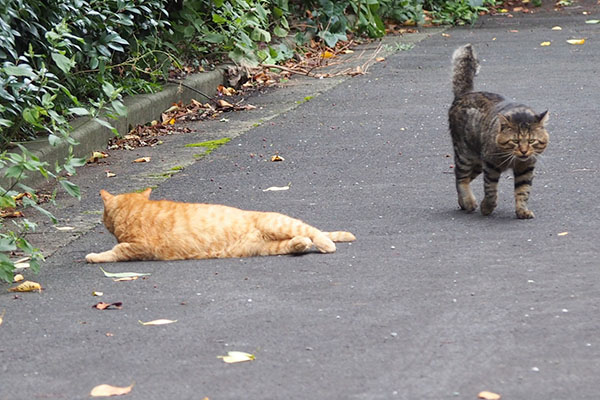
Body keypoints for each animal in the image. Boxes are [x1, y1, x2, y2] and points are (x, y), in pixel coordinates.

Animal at [84, 189, 356, 264]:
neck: (135, 211)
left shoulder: (141, 247)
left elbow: (116, 251)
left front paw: (94, 256)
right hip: (262, 248)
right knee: (295, 242)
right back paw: (301, 244)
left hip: (278, 223)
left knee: (313, 231)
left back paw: (325, 244)